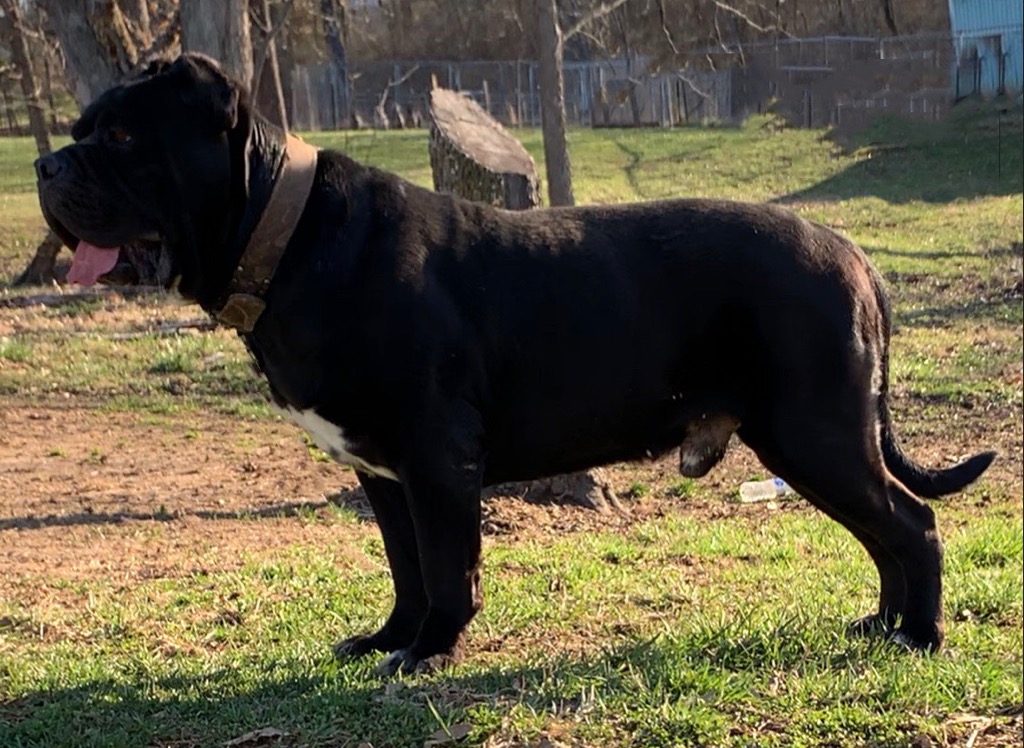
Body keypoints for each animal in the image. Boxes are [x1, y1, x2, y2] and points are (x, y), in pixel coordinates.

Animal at [37, 52, 991, 672]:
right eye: (82, 131)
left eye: (120, 138)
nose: (46, 163)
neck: (287, 235)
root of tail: (854, 254)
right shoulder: (384, 472)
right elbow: (407, 570)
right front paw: (391, 642)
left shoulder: (435, 460)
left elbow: (446, 571)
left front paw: (427, 656)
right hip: (814, 443)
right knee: (884, 534)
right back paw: (883, 626)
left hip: (813, 433)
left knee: (911, 524)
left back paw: (920, 638)